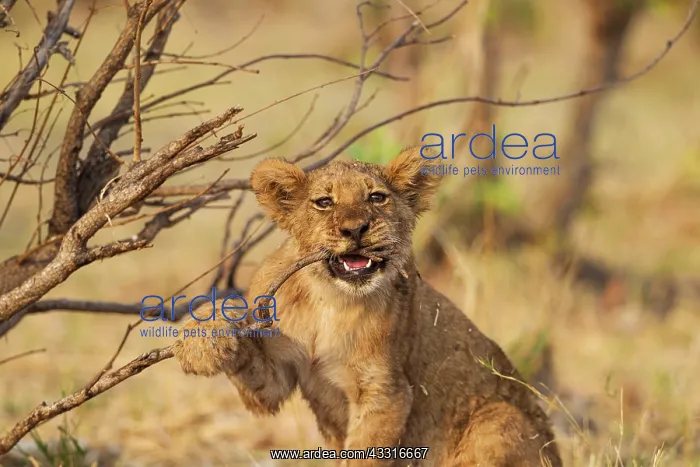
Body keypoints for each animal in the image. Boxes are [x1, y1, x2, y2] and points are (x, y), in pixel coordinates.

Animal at [172, 147, 563, 466]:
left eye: (377, 197)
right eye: (324, 202)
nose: (355, 229)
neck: (329, 301)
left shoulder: (386, 393)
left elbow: (364, 454)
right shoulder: (277, 376)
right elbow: (251, 368)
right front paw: (201, 341)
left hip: (499, 419)